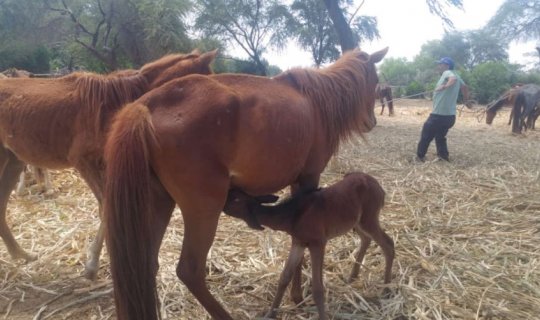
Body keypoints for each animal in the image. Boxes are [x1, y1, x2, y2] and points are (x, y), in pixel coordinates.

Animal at [0, 48, 215, 278]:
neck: (111, 103)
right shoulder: (86, 163)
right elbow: (107, 207)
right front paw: (92, 264)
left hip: (13, 161)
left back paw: (22, 254)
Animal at [221, 171, 394, 318]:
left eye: (235, 199)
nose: (220, 203)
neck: (293, 216)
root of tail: (379, 188)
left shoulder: (318, 243)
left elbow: (317, 288)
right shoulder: (298, 242)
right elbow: (284, 277)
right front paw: (270, 314)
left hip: (369, 217)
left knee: (388, 244)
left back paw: (386, 289)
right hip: (356, 221)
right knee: (366, 239)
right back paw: (353, 276)